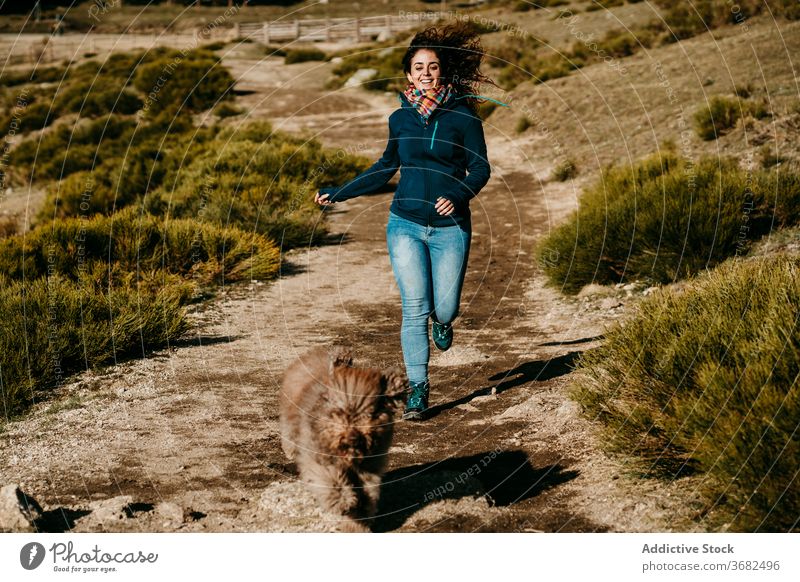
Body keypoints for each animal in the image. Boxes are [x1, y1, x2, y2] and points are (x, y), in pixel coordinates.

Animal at [280, 346, 406, 532]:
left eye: (368, 415)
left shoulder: (370, 467)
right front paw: (344, 501)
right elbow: (331, 480)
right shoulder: (319, 458)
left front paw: (357, 523)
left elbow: (368, 493)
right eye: (340, 413)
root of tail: (314, 355)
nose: (353, 437)